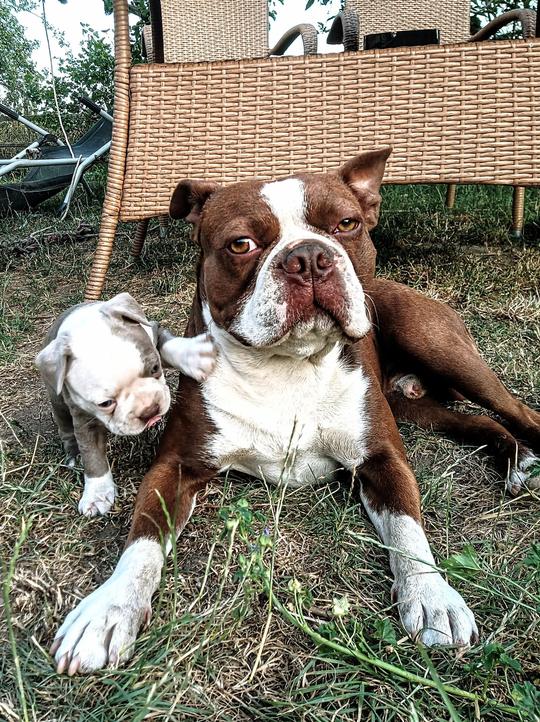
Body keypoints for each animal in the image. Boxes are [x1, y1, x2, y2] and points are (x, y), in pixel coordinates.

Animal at [34, 290, 213, 516]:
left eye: (155, 368)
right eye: (105, 403)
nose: (149, 410)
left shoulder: (153, 331)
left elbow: (168, 345)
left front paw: (195, 356)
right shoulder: (84, 419)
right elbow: (92, 456)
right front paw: (97, 494)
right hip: (57, 401)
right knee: (65, 427)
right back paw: (73, 455)